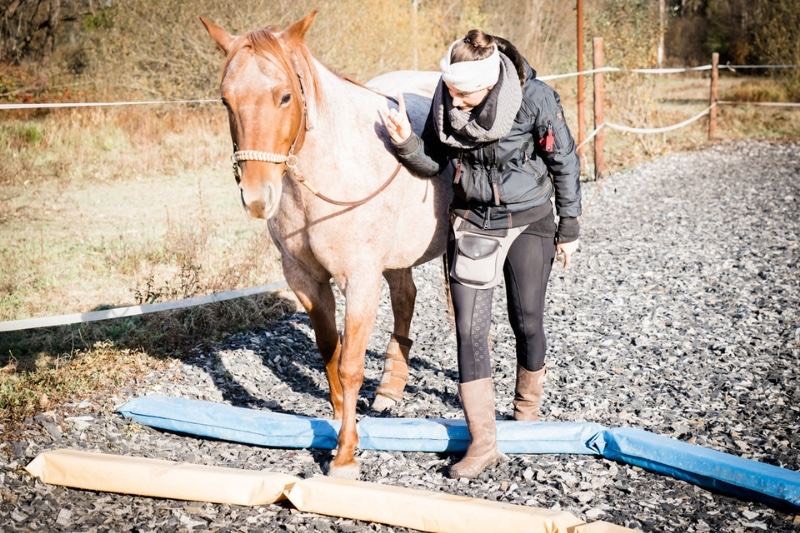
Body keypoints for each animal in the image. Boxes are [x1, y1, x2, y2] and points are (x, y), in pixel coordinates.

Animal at [200, 13, 450, 478]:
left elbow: (350, 364)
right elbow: (328, 348)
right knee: (405, 297)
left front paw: (345, 455)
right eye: (226, 101)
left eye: (284, 96)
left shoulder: (361, 279)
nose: (257, 198)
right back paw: (389, 389)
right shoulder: (306, 279)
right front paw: (335, 418)